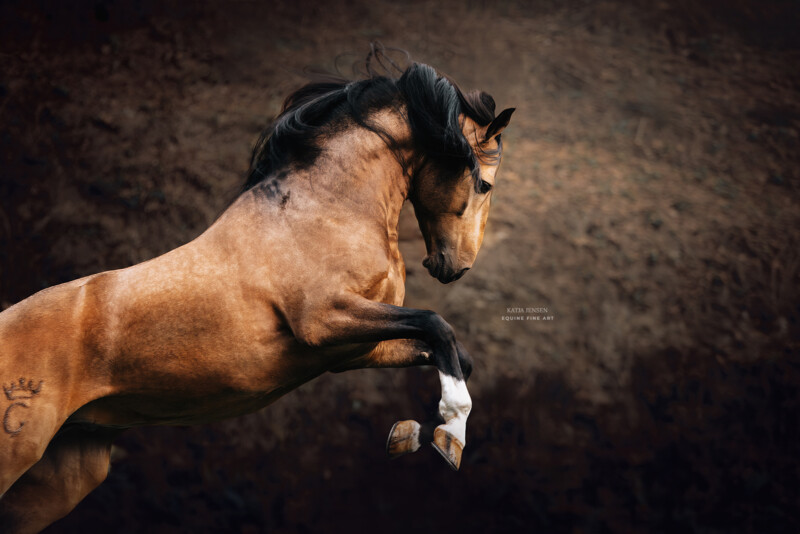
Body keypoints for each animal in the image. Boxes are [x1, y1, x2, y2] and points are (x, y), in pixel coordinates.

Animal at [0, 51, 512, 534]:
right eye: (484, 183)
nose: (455, 266)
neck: (325, 207)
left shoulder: (354, 349)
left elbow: (453, 354)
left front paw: (415, 434)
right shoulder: (325, 321)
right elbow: (437, 326)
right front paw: (452, 431)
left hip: (62, 477)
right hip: (17, 454)